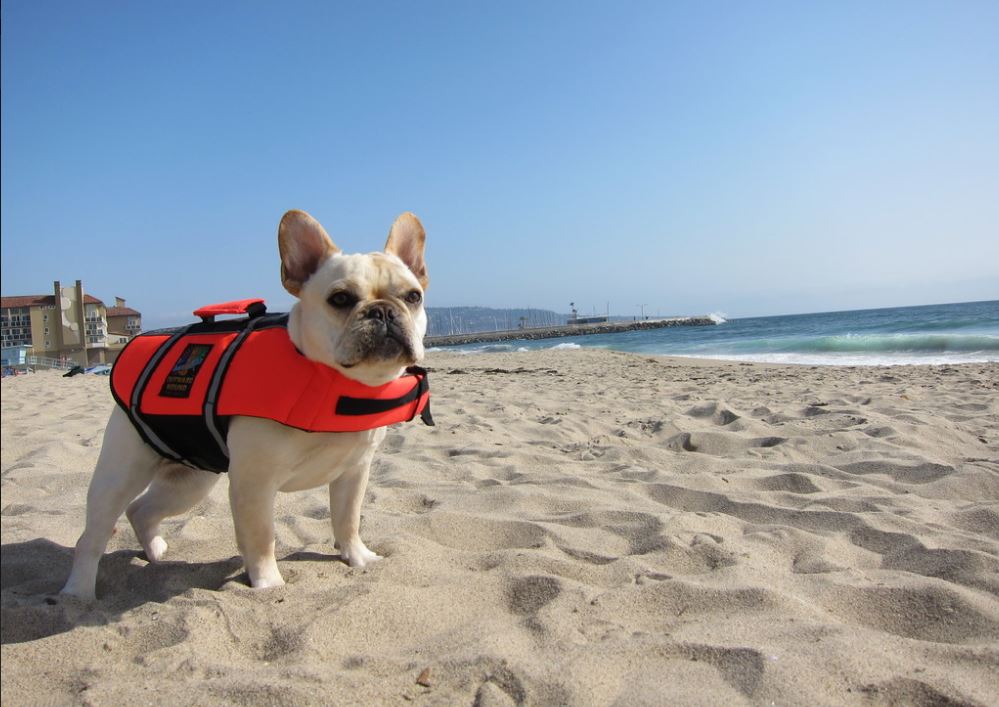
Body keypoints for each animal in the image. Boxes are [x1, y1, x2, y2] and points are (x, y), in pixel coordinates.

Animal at [61, 209, 430, 596]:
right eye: (341, 299)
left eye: (413, 296)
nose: (383, 311)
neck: (337, 382)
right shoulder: (254, 483)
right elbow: (261, 537)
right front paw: (269, 583)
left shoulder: (354, 473)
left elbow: (347, 520)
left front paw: (358, 557)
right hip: (122, 472)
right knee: (93, 535)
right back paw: (78, 592)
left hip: (189, 482)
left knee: (140, 510)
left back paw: (155, 551)